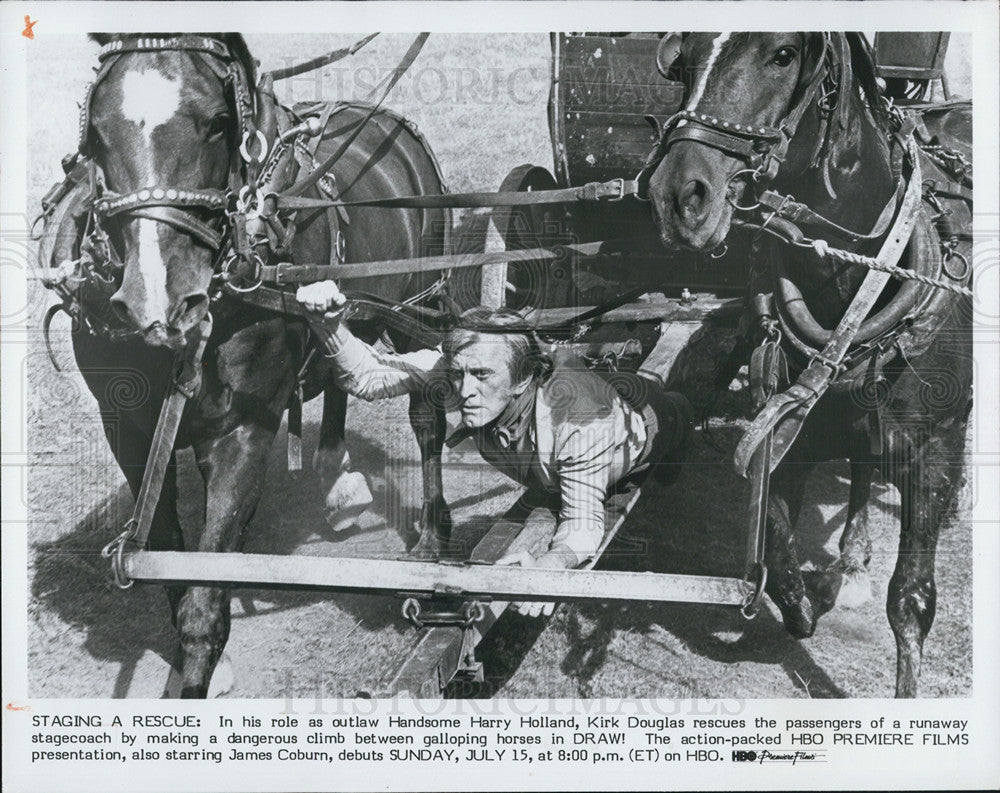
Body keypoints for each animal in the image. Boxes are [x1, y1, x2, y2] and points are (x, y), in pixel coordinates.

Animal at [66, 34, 450, 696]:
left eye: (218, 123)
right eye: (96, 133)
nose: (157, 300)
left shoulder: (242, 428)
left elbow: (206, 586)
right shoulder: (131, 432)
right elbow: (167, 554)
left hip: (417, 304)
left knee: (427, 414)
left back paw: (428, 541)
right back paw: (335, 467)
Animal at [644, 34, 972, 696]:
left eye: (783, 55)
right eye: (684, 59)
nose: (677, 196)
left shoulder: (930, 451)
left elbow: (912, 600)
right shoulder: (786, 428)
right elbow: (777, 556)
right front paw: (818, 593)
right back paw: (851, 555)